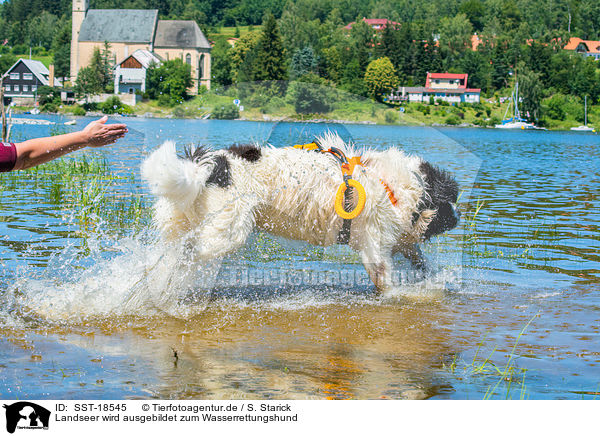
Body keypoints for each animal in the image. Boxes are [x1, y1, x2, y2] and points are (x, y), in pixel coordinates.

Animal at [142, 133, 460, 296]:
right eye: (449, 204)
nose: (458, 219)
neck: (393, 185)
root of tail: (212, 165)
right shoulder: (375, 247)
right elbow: (386, 280)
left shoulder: (397, 241)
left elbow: (417, 257)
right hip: (229, 231)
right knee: (188, 251)